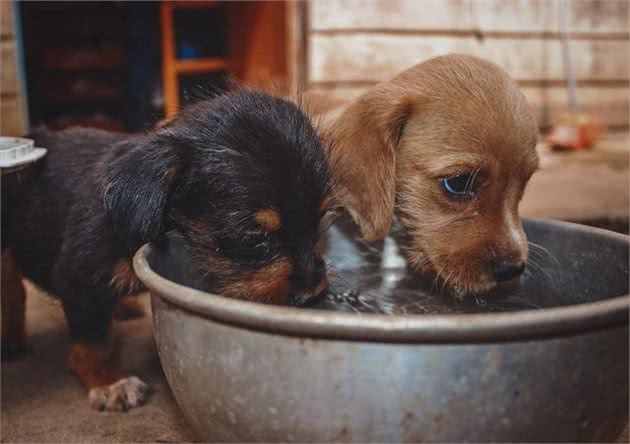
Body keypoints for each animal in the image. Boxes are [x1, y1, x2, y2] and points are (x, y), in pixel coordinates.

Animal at [2, 89, 334, 410]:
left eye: (320, 220)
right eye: (253, 235)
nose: (311, 295)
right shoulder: (79, 281)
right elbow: (93, 343)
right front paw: (108, 383)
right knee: (13, 291)